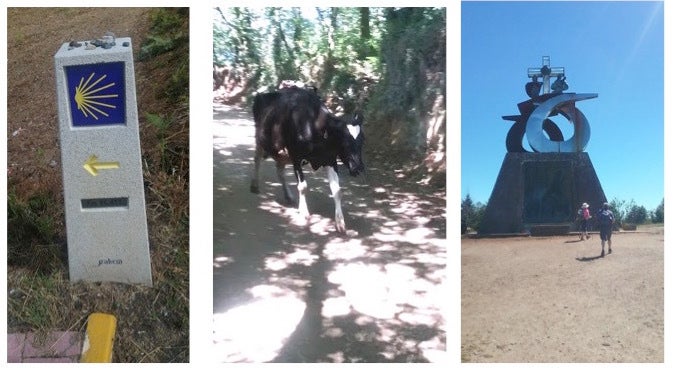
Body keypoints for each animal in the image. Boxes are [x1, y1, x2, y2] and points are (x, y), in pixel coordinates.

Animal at [248, 86, 364, 233]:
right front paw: (304, 212)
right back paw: (254, 185)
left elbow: (337, 191)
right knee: (257, 160)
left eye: (363, 140)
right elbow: (302, 186)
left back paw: (288, 196)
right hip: (260, 139)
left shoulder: (330, 160)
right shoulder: (296, 157)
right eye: (344, 141)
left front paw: (340, 222)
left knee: (279, 171)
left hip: (281, 154)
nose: (359, 167)